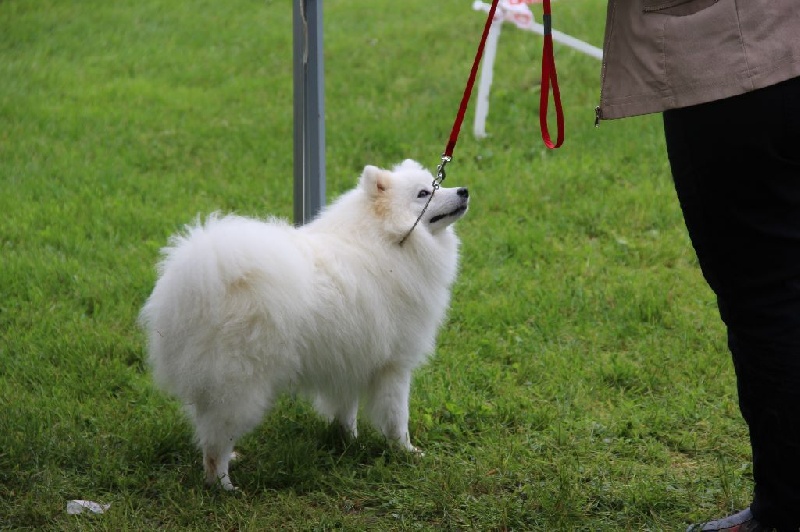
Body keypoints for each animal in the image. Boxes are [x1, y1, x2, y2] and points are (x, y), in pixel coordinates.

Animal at [139, 159, 469, 489]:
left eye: (434, 184)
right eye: (424, 193)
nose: (464, 190)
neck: (387, 239)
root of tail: (191, 287)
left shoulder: (351, 357)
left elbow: (346, 410)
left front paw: (348, 441)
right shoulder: (394, 367)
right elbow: (397, 417)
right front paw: (407, 452)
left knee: (206, 427)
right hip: (242, 386)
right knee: (214, 445)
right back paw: (224, 485)